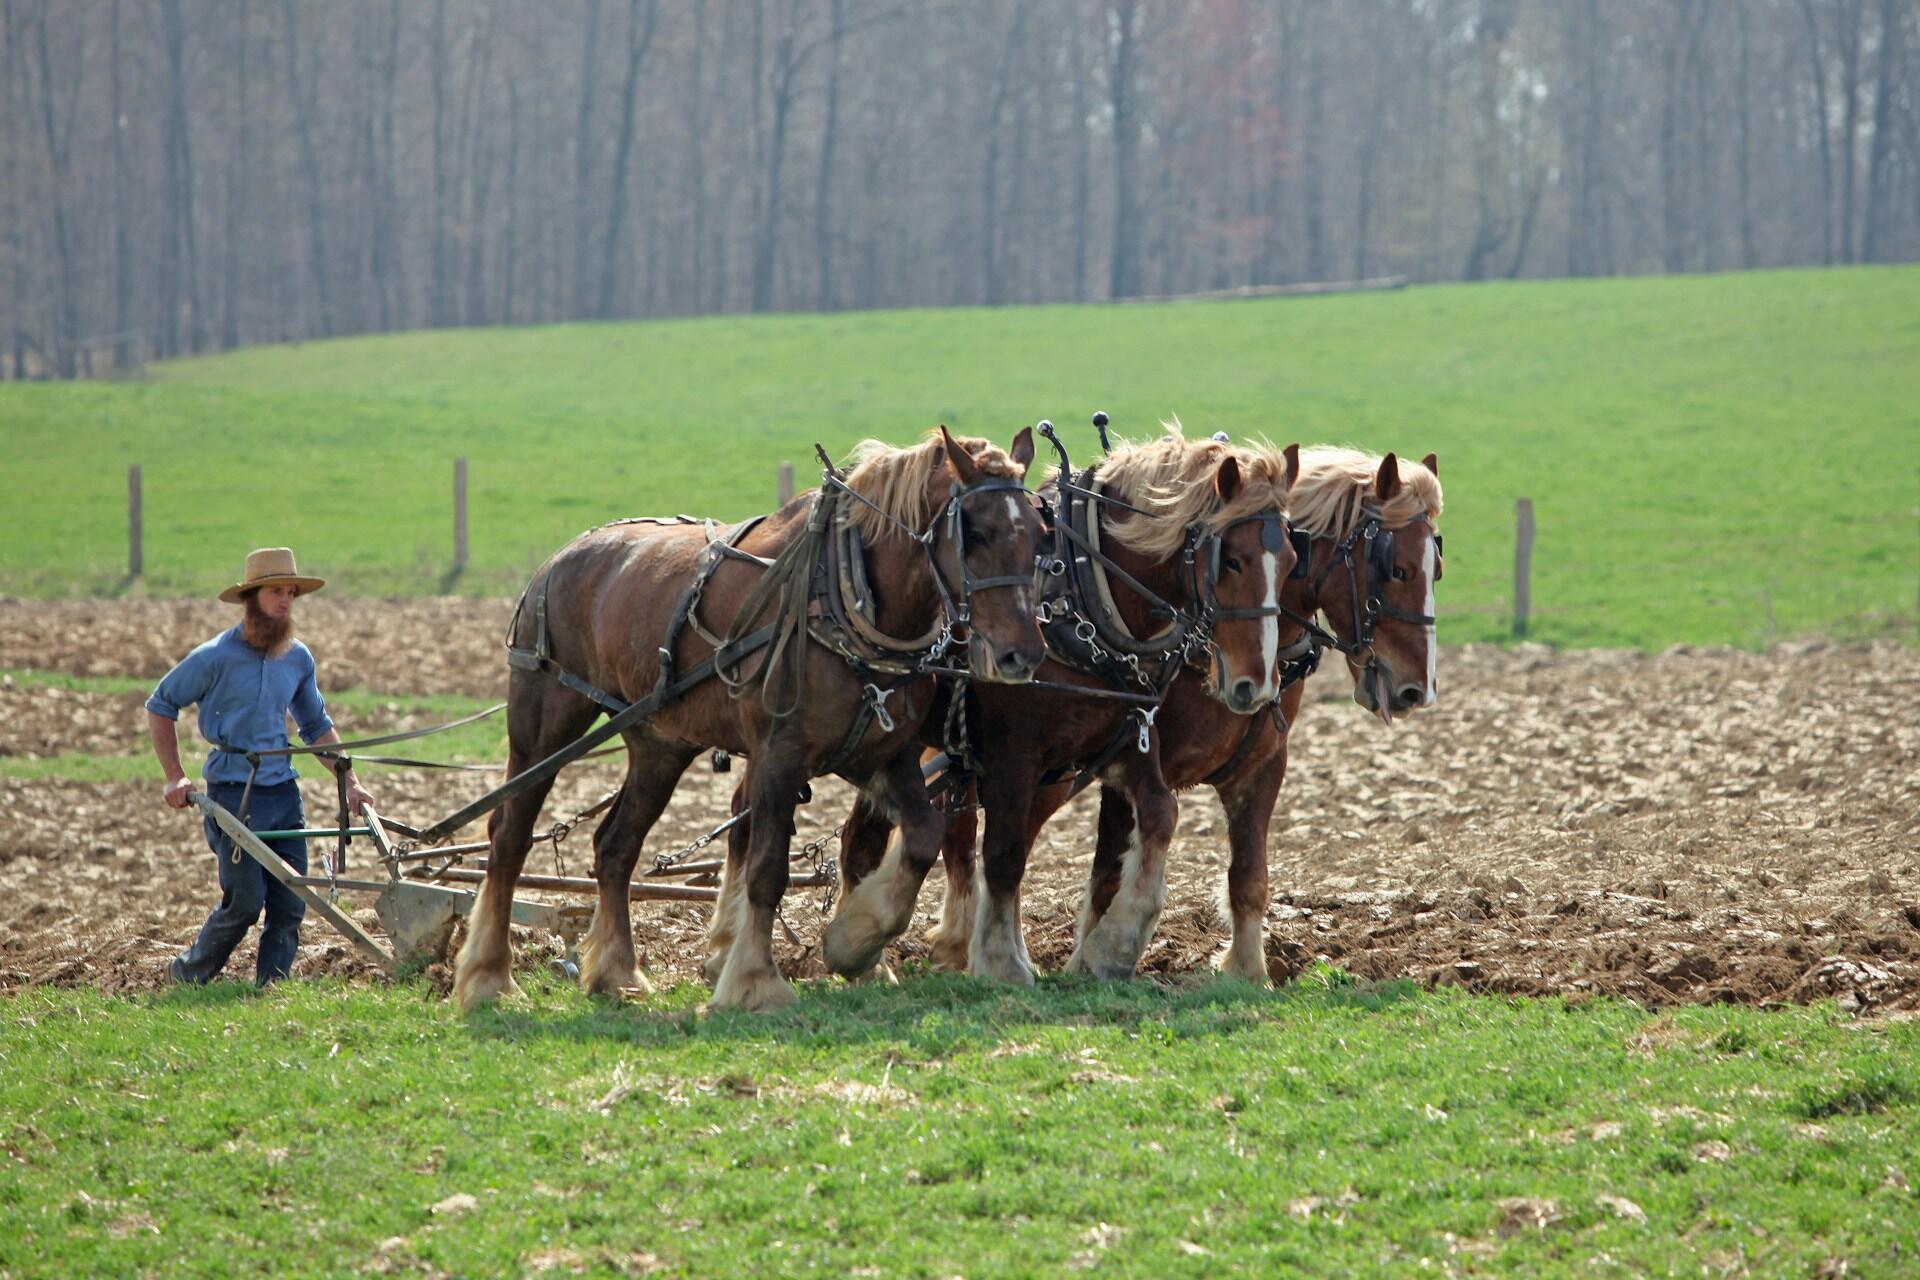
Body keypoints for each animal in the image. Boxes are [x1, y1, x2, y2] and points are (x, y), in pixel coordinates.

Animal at [451, 427, 1048, 1012]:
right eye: (975, 534)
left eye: (1041, 533)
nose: (1023, 655)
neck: (844, 596)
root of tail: (560, 558)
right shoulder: (780, 757)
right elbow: (767, 871)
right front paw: (755, 982)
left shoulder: (881, 753)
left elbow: (923, 835)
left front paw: (853, 942)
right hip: (545, 727)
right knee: (509, 838)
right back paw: (488, 977)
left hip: (659, 744)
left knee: (614, 846)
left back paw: (617, 973)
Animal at [836, 426, 1302, 985]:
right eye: (1230, 560)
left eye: (1292, 563)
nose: (1258, 684)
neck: (1080, 599)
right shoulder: (1011, 755)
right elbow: (1005, 855)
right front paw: (1002, 964)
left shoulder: (1127, 739)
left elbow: (1159, 815)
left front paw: (1112, 946)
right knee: (870, 836)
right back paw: (868, 958)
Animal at [949, 446, 1444, 983]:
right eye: (1396, 569)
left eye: (1436, 568)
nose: (1417, 689)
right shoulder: (1115, 752)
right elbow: (1132, 842)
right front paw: (1107, 949)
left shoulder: (1261, 765)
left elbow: (1246, 874)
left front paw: (1246, 969)